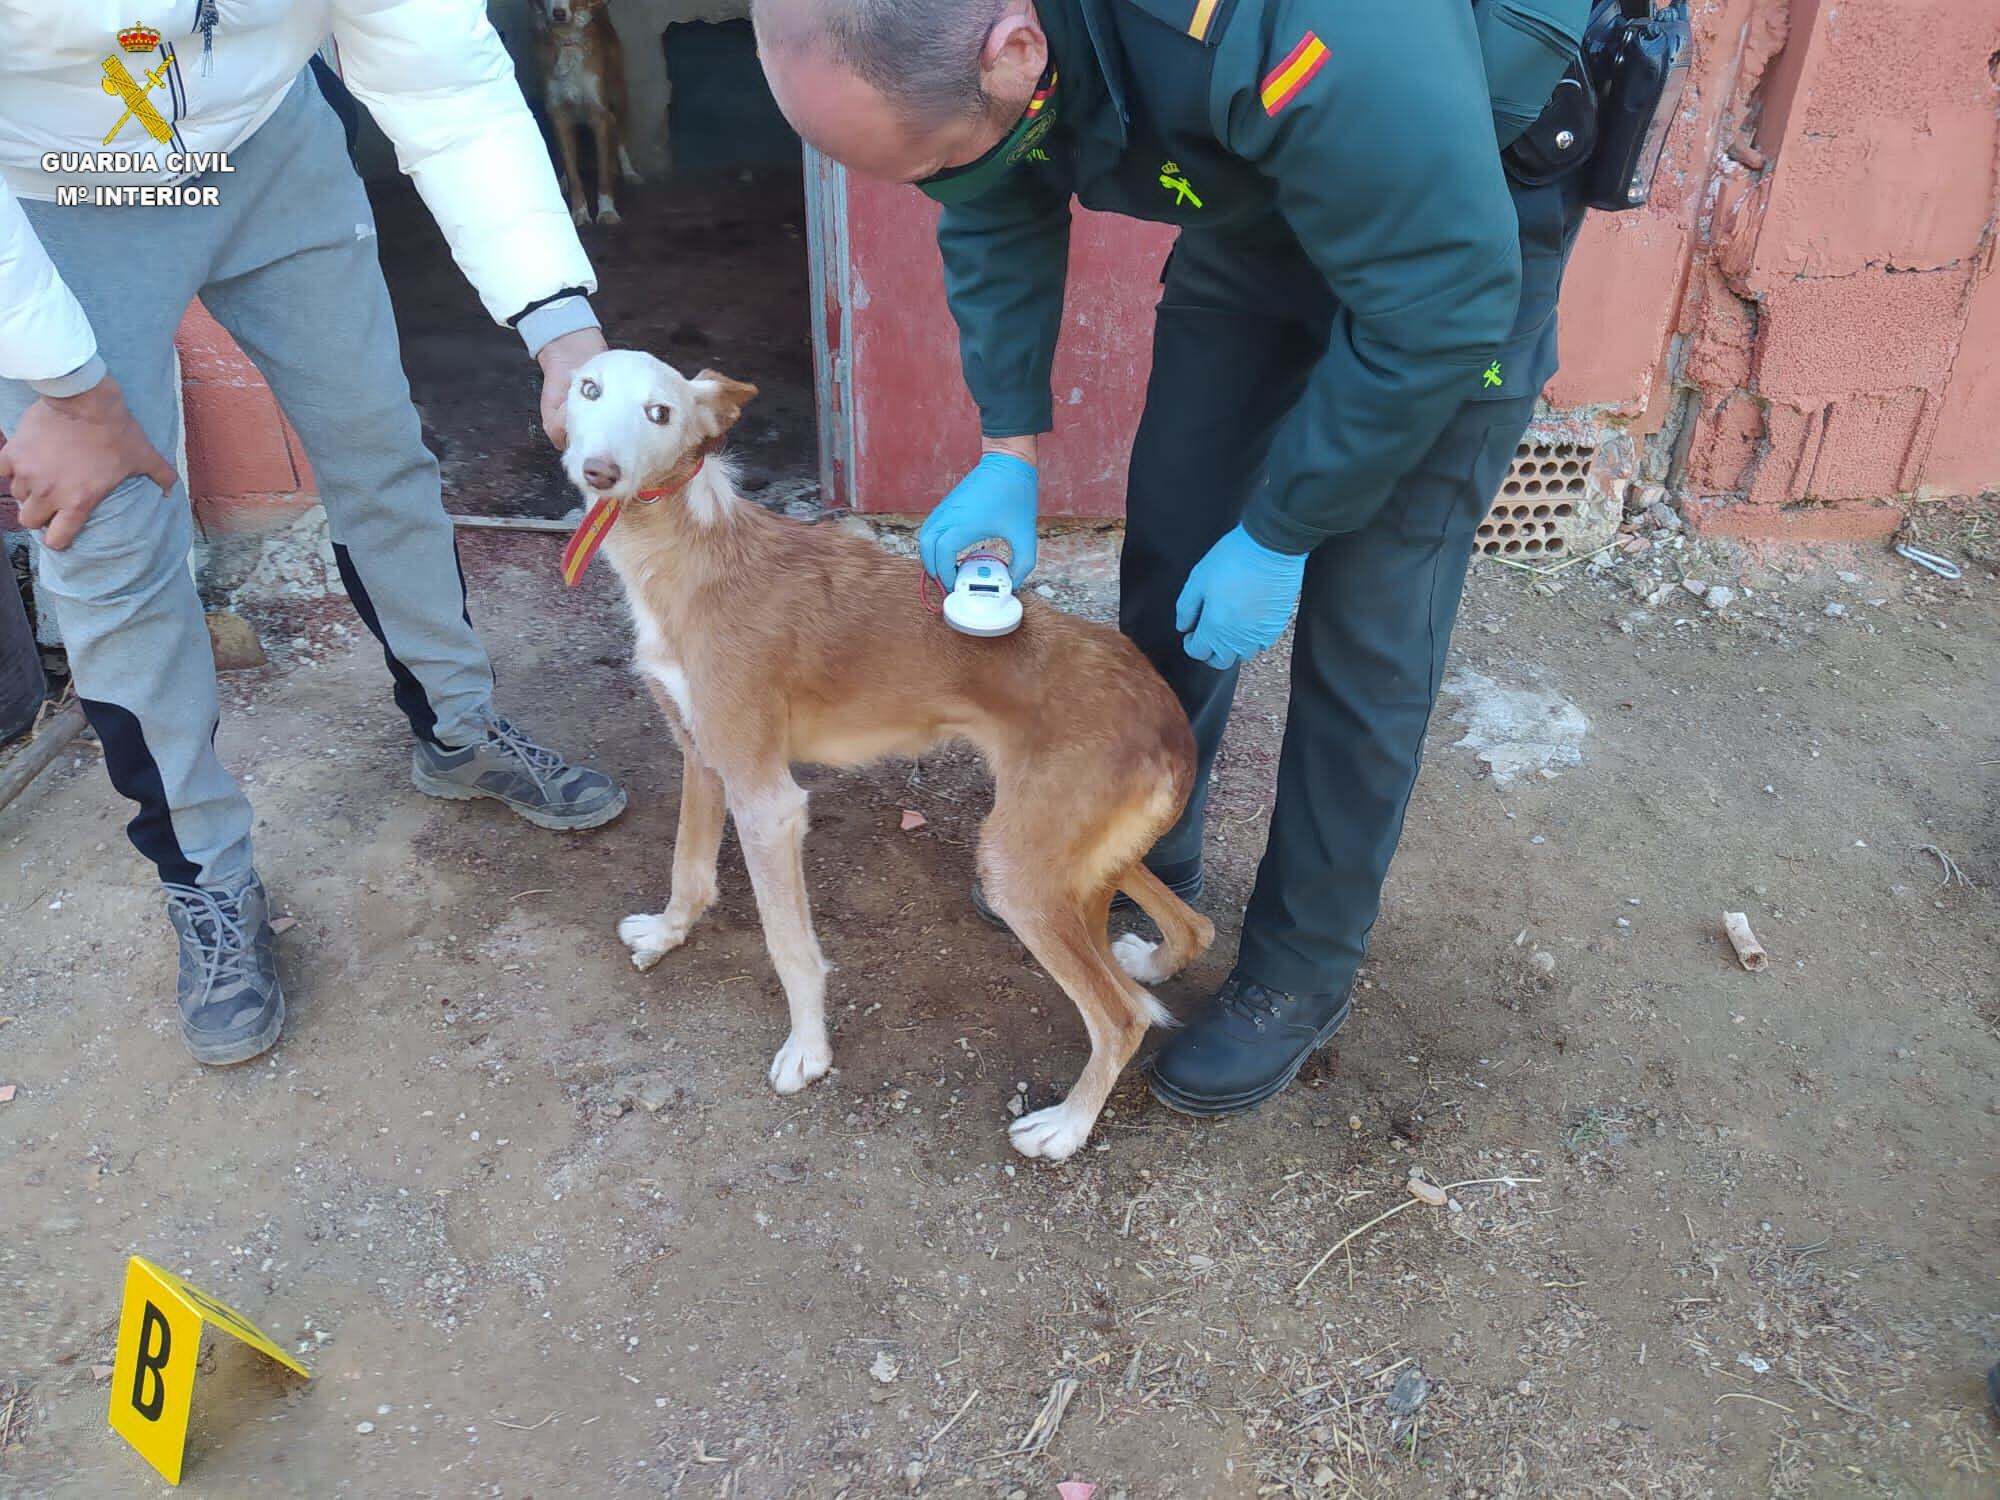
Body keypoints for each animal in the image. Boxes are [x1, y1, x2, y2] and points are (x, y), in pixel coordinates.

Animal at [564, 350, 1216, 1160]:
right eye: (588, 388)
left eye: (659, 412)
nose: (599, 471)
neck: (690, 544)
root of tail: (1167, 715)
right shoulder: (704, 759)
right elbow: (688, 870)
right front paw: (666, 933)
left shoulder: (767, 799)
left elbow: (790, 946)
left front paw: (808, 1051)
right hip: (1073, 857)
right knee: (1193, 929)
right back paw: (1152, 962)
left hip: (1018, 869)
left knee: (1123, 1017)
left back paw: (1066, 1126)